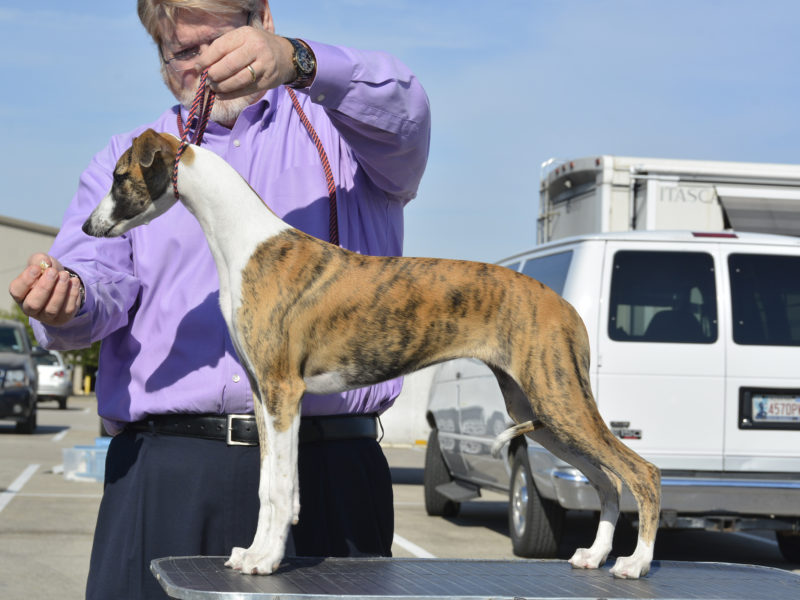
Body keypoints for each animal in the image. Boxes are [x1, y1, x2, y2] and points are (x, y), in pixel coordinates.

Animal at [84, 129, 664, 580]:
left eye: (118, 176)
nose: (88, 228)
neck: (245, 243)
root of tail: (564, 305)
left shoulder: (283, 392)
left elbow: (280, 488)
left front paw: (267, 561)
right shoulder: (262, 396)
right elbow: (269, 486)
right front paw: (253, 553)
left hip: (559, 400)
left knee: (640, 472)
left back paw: (634, 563)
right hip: (539, 410)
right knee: (607, 480)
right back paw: (593, 555)